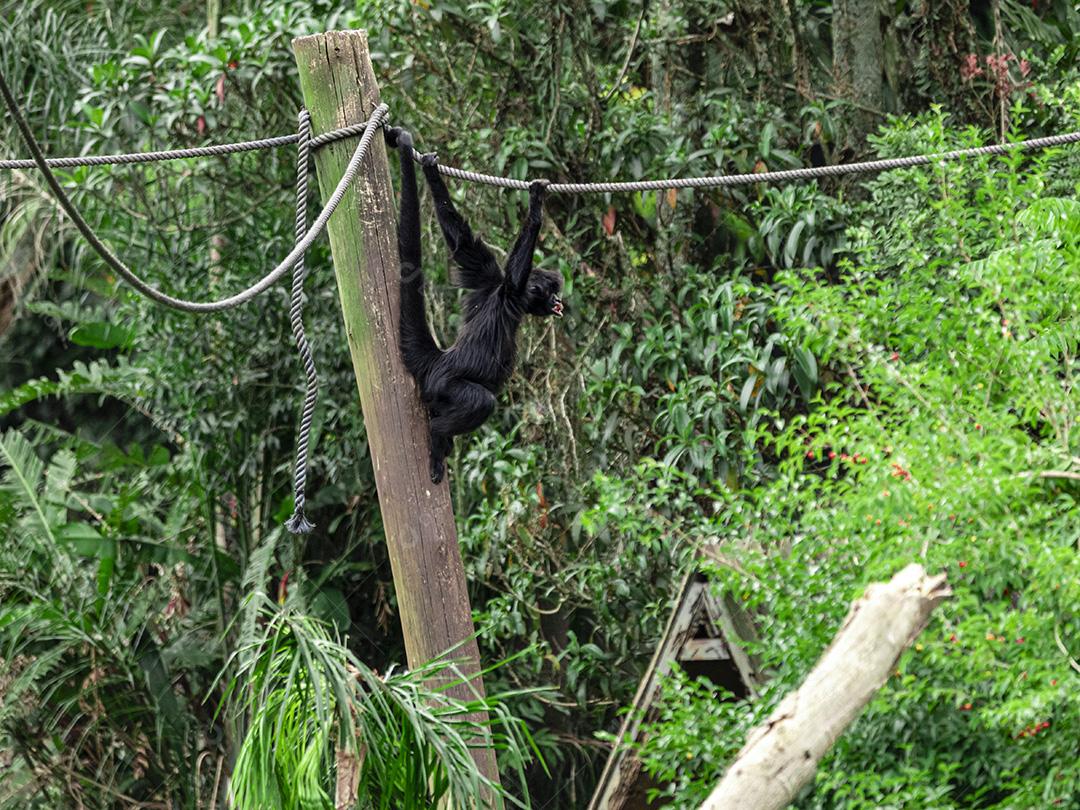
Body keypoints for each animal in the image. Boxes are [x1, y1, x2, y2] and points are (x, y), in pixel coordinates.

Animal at [386, 126, 565, 481]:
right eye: (550, 293)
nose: (558, 301)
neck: (505, 298)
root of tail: (439, 360)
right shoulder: (510, 290)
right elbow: (516, 271)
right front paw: (536, 204)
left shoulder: (486, 276)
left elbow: (463, 244)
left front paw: (430, 170)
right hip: (446, 388)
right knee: (481, 401)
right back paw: (439, 436)